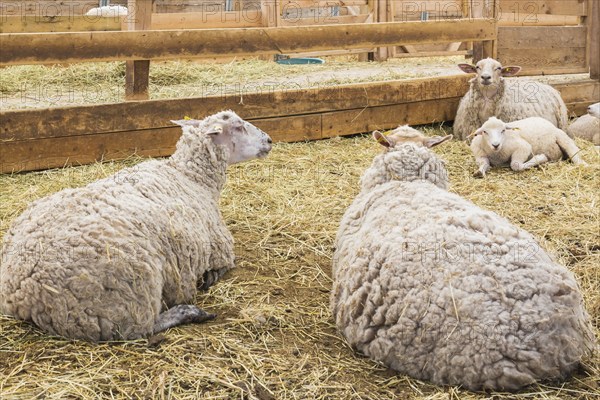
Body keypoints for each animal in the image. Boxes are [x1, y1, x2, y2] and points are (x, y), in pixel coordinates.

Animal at [1, 111, 274, 342]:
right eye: (238, 126)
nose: (269, 140)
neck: (191, 177)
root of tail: (21, 291)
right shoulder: (220, 249)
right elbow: (224, 266)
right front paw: (209, 278)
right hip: (128, 295)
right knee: (140, 329)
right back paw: (189, 312)